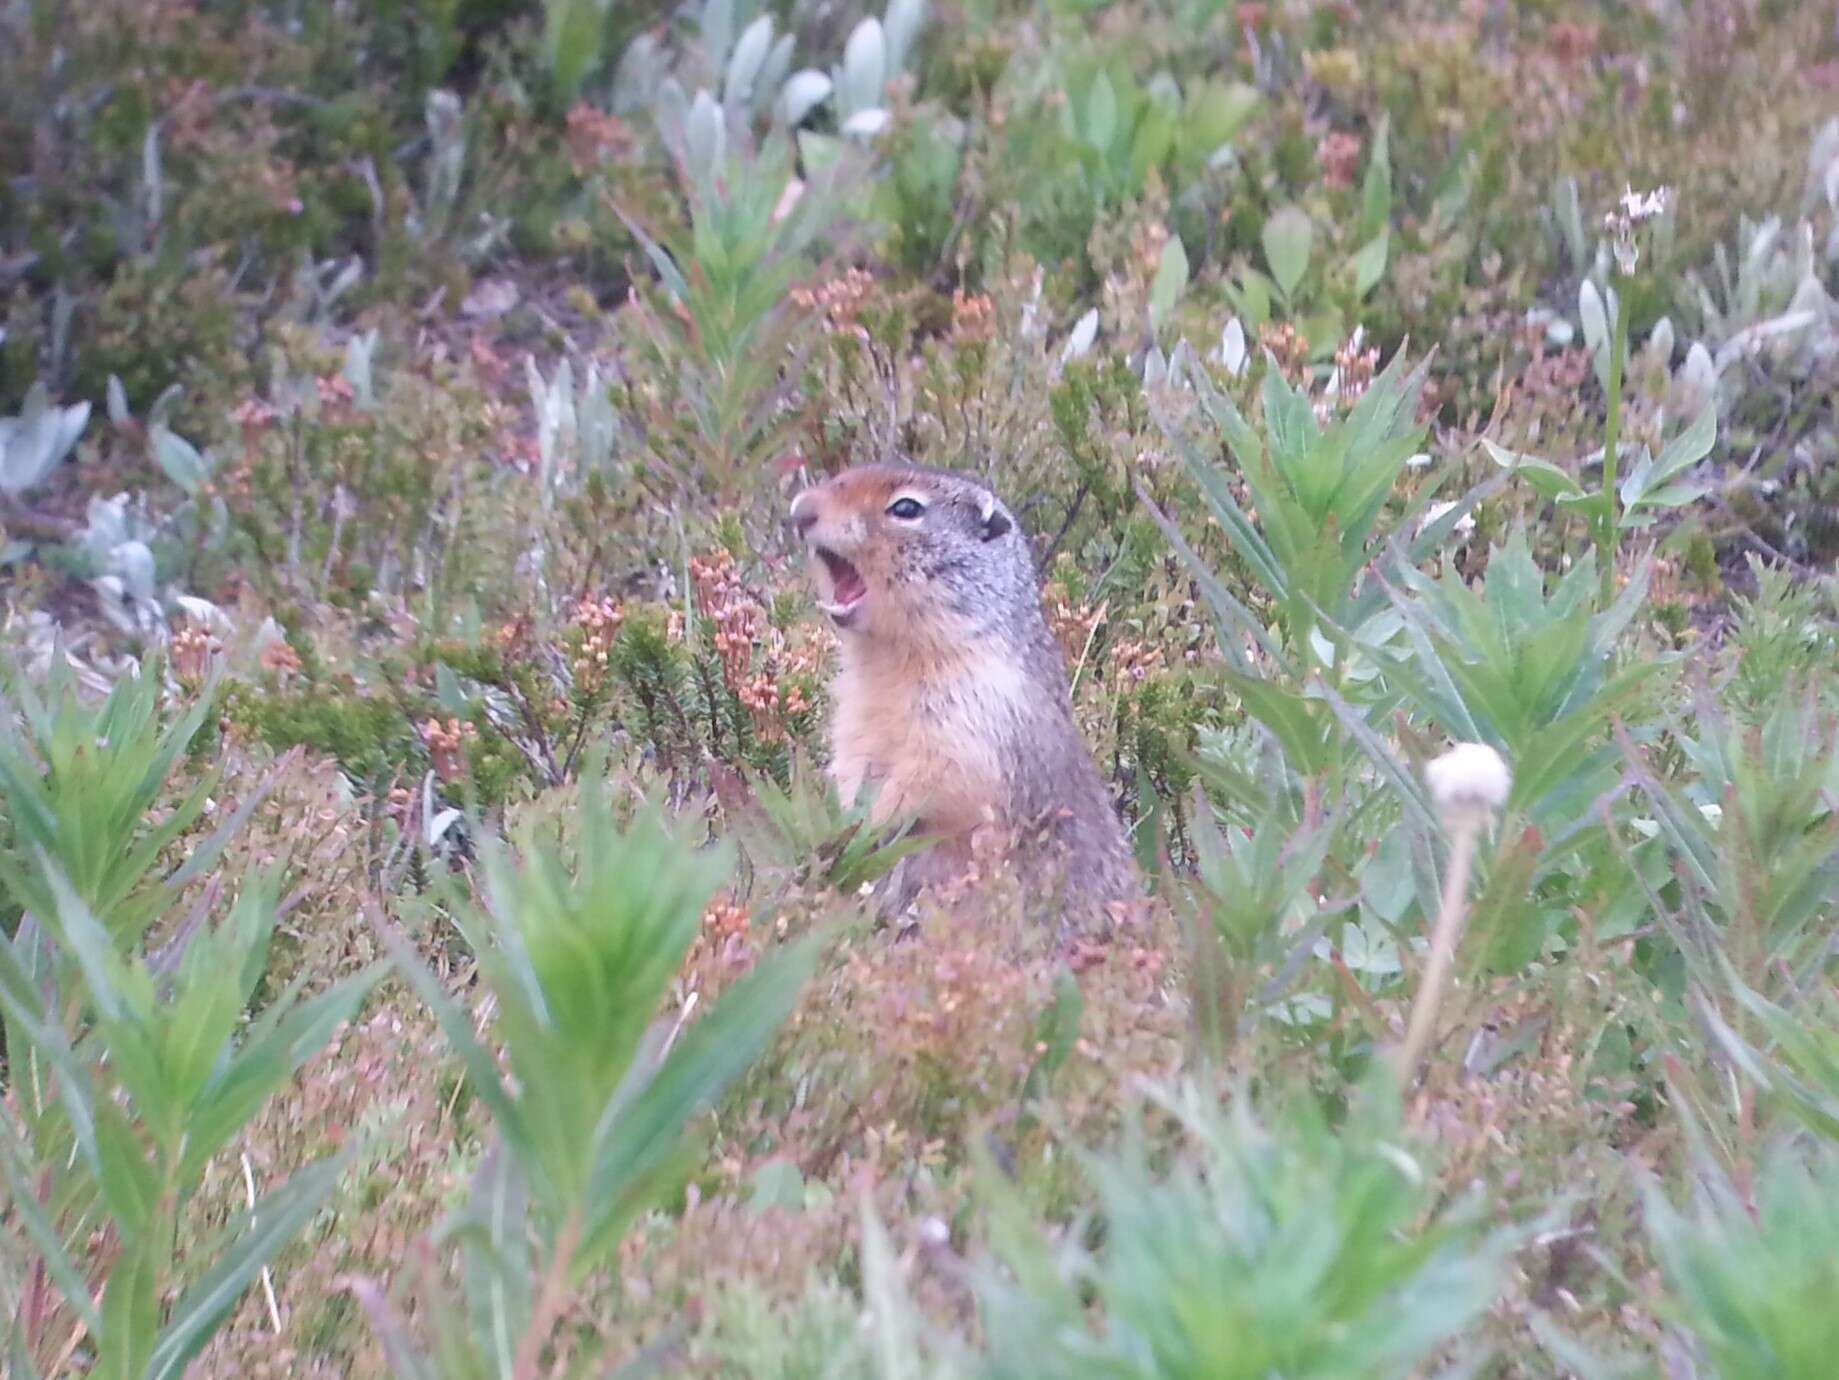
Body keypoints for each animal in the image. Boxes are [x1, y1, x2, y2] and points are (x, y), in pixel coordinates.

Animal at [790, 461, 1132, 931]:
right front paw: (840, 821)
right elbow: (851, 767)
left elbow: (935, 779)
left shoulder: (972, 714)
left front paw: (865, 826)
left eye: (906, 508)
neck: (887, 657)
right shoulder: (854, 723)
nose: (800, 511)